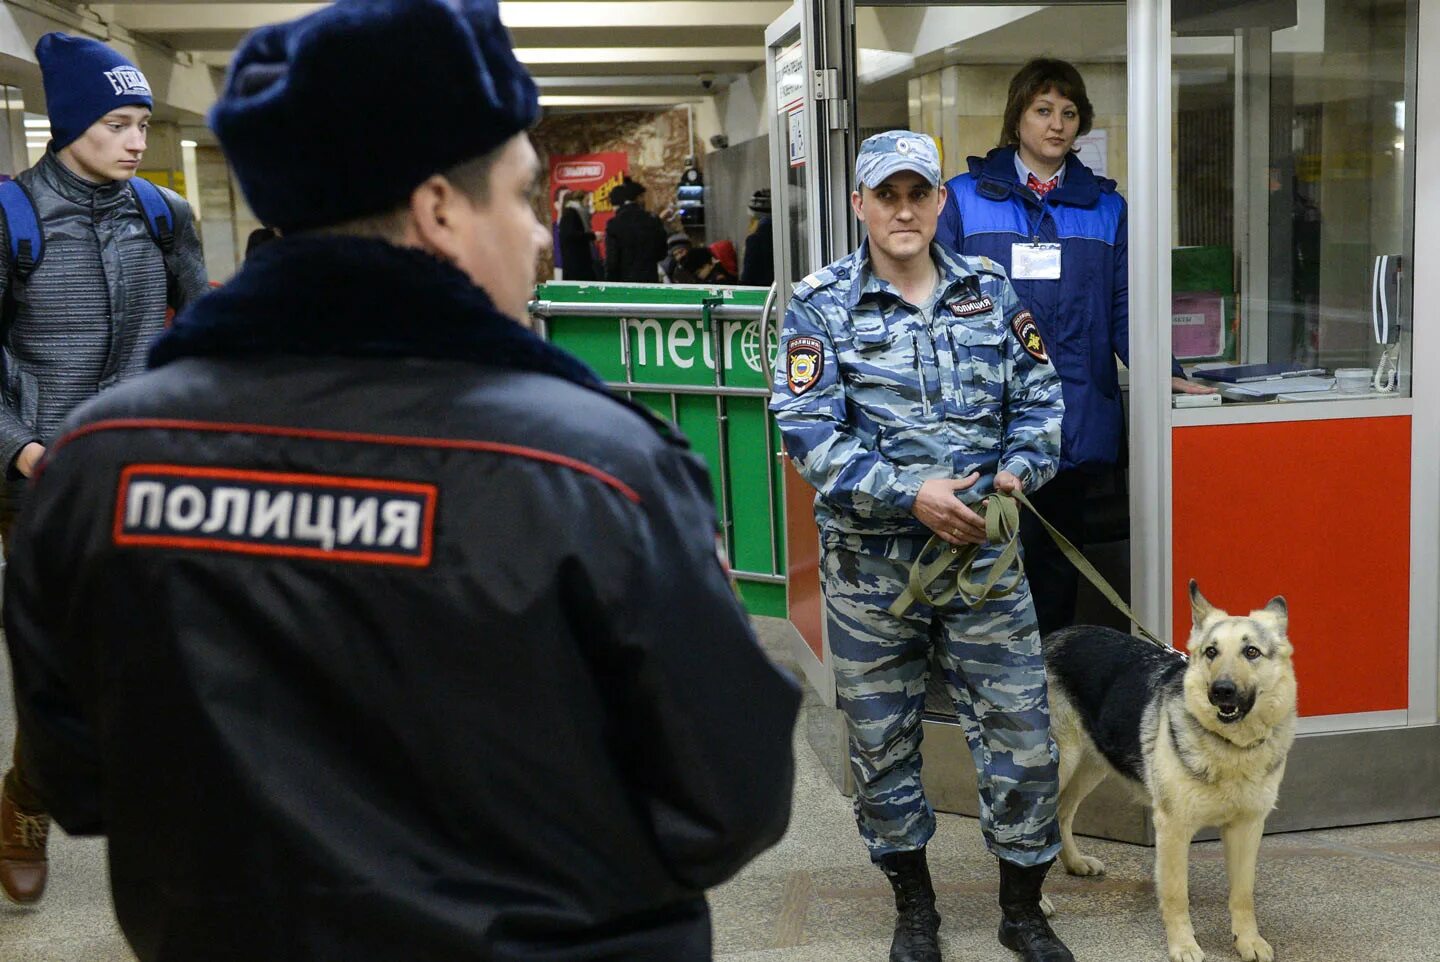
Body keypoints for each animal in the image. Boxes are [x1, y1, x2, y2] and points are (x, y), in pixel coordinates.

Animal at [1042, 578, 1301, 962]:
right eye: (1211, 652)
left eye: (1252, 652)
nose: (1221, 691)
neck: (1230, 747)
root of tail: (1047, 639)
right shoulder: (1174, 829)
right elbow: (1177, 894)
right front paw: (1184, 945)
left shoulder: (1247, 828)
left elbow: (1243, 894)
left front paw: (1247, 940)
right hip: (1057, 767)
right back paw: (1037, 899)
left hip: (1091, 765)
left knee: (1062, 814)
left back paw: (1074, 863)